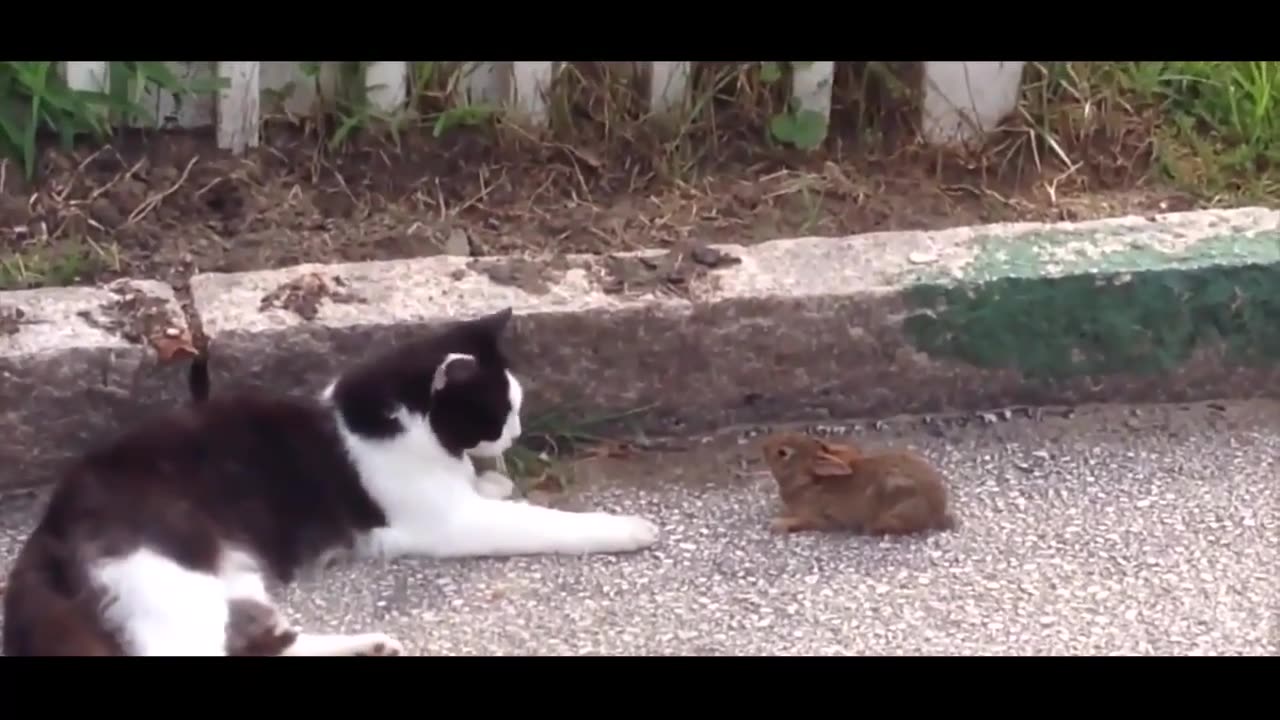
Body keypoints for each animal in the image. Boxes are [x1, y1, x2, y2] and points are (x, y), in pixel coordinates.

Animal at [0, 304, 660, 653]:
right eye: (503, 410)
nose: (518, 432)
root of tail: (49, 525)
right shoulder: (448, 523)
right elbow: (543, 521)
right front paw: (627, 527)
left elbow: (486, 487)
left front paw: (492, 479)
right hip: (170, 577)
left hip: (231, 577)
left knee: (263, 645)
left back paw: (369, 644)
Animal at [752, 427, 957, 535]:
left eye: (782, 453)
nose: (763, 446)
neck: (806, 478)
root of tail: (938, 510)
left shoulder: (817, 517)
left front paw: (777, 524)